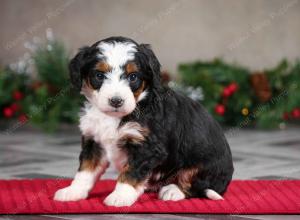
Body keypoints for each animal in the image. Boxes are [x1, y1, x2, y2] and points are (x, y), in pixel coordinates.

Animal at [53, 36, 234, 206]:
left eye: (133, 77)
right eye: (99, 75)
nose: (116, 101)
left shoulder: (147, 147)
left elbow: (130, 172)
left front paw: (120, 196)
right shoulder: (94, 142)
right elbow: (85, 171)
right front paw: (73, 191)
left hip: (204, 164)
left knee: (196, 184)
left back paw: (172, 190)